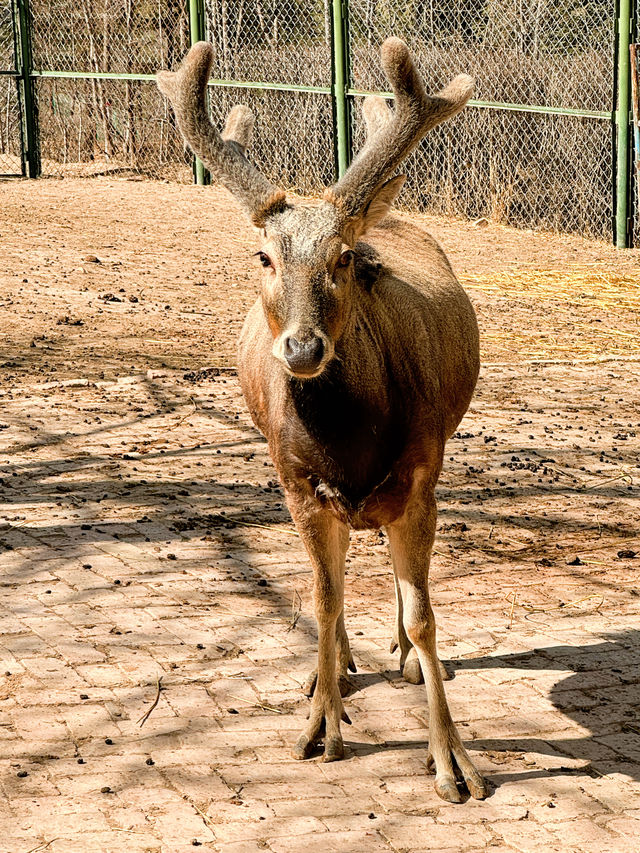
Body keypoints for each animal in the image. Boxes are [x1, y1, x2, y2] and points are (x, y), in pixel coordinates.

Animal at [158, 36, 488, 804]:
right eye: (264, 255)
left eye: (343, 259)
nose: (303, 349)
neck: (349, 449)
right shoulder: (297, 482)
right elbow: (324, 595)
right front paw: (321, 730)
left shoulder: (422, 475)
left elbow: (424, 616)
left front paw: (453, 765)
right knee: (329, 588)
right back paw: (327, 673)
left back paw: (392, 660)